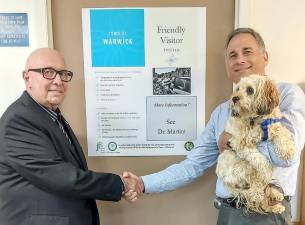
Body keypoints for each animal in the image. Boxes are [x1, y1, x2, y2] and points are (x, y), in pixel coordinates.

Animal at [215, 74, 294, 214]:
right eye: (237, 89)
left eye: (250, 90)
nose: (234, 98)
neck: (255, 121)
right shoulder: (238, 144)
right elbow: (257, 157)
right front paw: (267, 167)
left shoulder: (273, 126)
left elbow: (283, 133)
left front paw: (288, 150)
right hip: (248, 172)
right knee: (259, 198)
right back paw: (274, 205)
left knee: (265, 190)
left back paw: (276, 196)